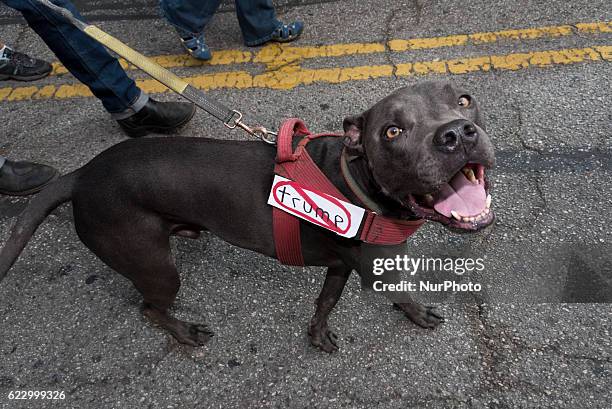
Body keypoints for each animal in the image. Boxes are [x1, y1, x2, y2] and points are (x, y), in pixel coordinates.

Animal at [0, 81, 494, 352]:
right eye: (392, 131)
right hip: (155, 267)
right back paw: (184, 333)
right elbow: (404, 296)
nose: (458, 133)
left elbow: (324, 302)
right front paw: (419, 314)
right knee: (148, 307)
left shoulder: (339, 264)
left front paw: (317, 334)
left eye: (464, 99)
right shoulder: (380, 273)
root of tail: (80, 175)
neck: (358, 182)